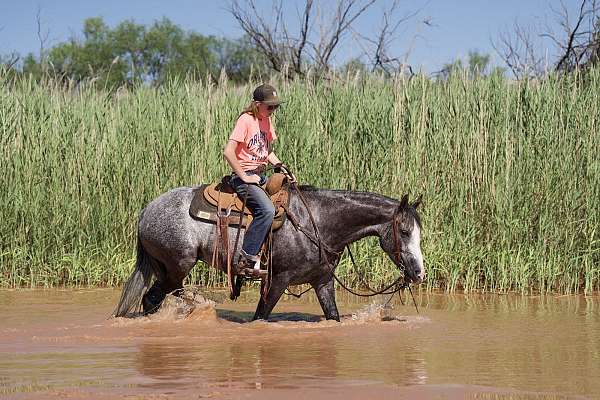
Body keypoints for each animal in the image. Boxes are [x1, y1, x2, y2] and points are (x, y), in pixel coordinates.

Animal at [115, 184, 424, 322]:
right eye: (404, 231)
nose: (419, 273)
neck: (319, 221)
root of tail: (146, 210)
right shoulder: (276, 281)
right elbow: (260, 317)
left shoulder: (322, 281)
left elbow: (332, 315)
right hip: (178, 265)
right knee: (152, 297)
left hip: (169, 269)